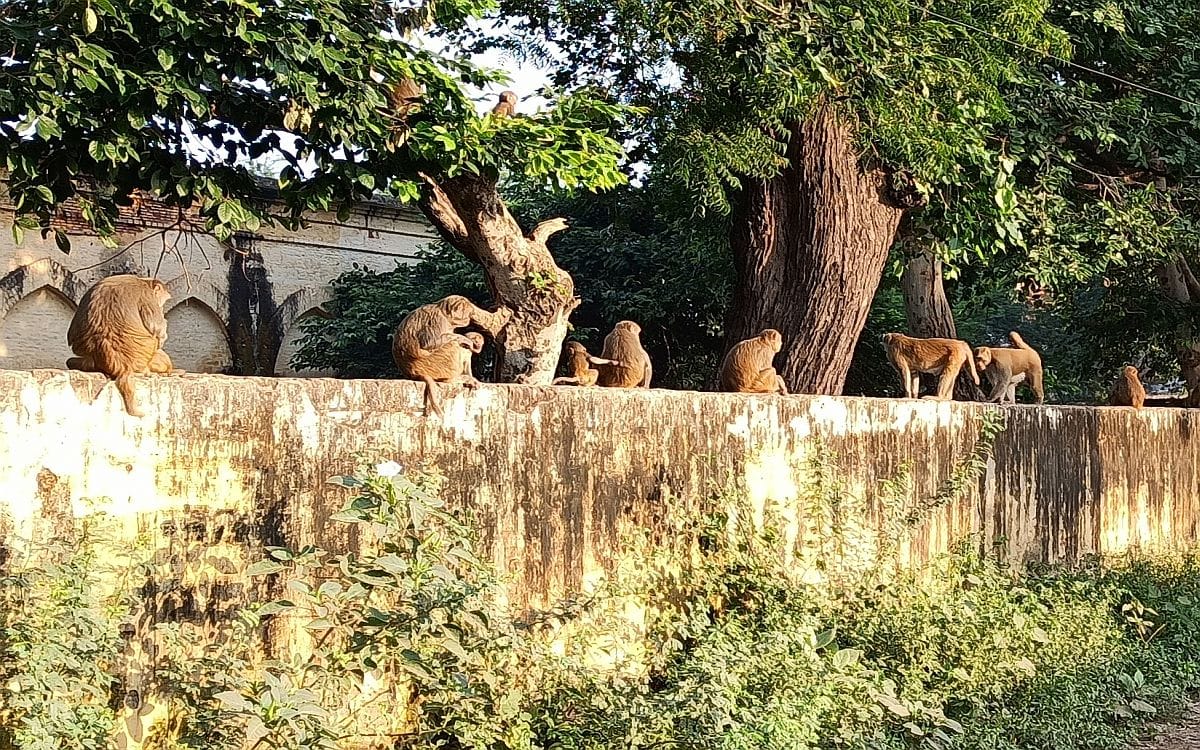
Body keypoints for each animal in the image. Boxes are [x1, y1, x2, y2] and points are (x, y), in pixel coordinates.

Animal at [65, 274, 182, 417]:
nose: (161, 308)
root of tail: (123, 367)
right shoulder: (148, 297)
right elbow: (158, 331)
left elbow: (72, 336)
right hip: (144, 363)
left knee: (71, 361)